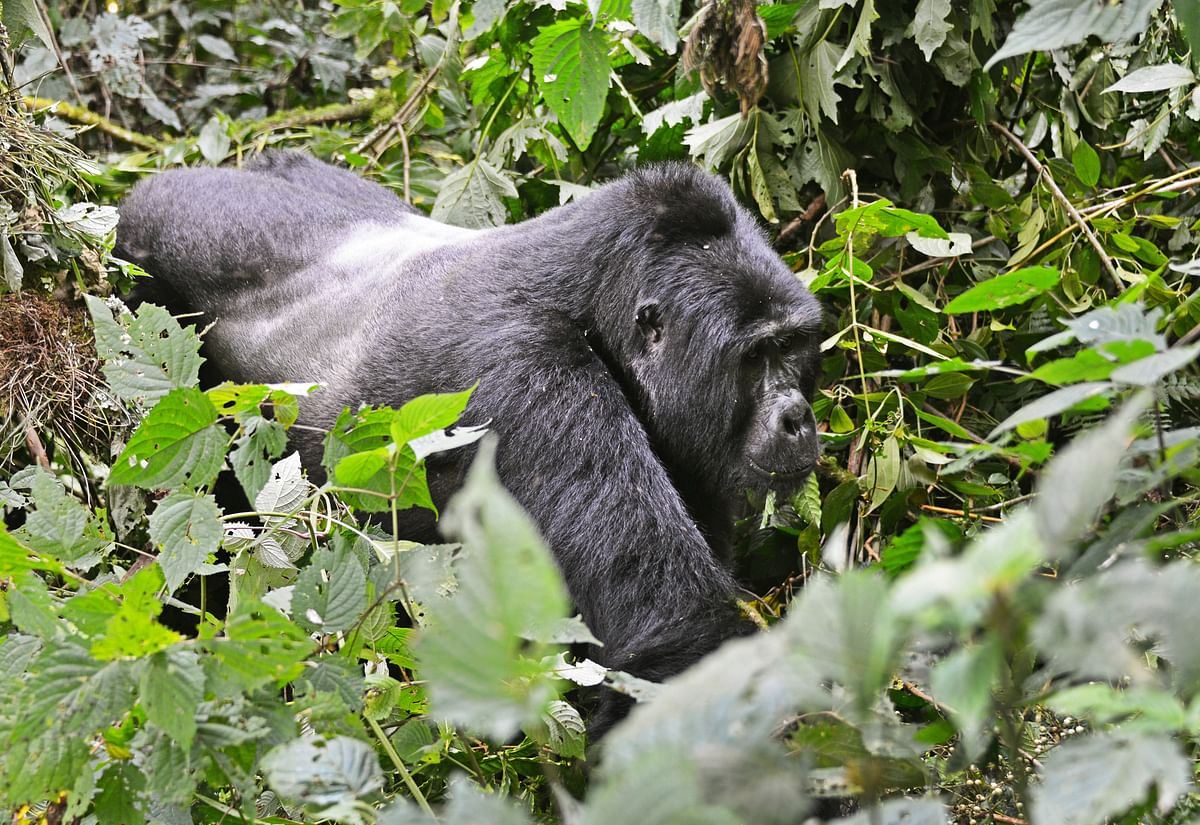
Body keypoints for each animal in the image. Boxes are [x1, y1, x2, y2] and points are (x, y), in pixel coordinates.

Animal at [114, 154, 825, 719]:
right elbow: (674, 641)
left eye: (793, 346)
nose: (798, 416)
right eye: (755, 357)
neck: (591, 292)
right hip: (150, 244)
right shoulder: (529, 378)